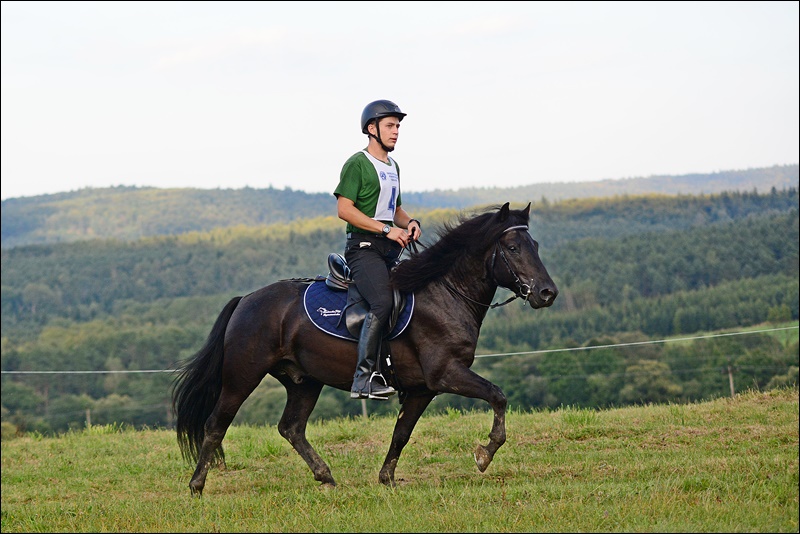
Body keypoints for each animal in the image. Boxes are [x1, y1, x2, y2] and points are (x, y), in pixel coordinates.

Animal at [170, 202, 556, 498]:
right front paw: (484, 454)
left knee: (291, 428)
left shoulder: (423, 388)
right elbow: (498, 396)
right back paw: (196, 486)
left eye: (536, 245)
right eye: (512, 248)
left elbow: (402, 433)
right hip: (242, 375)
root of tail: (246, 300)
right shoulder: (446, 373)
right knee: (215, 425)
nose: (547, 293)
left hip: (304, 380)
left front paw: (387, 479)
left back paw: (325, 477)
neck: (445, 293)